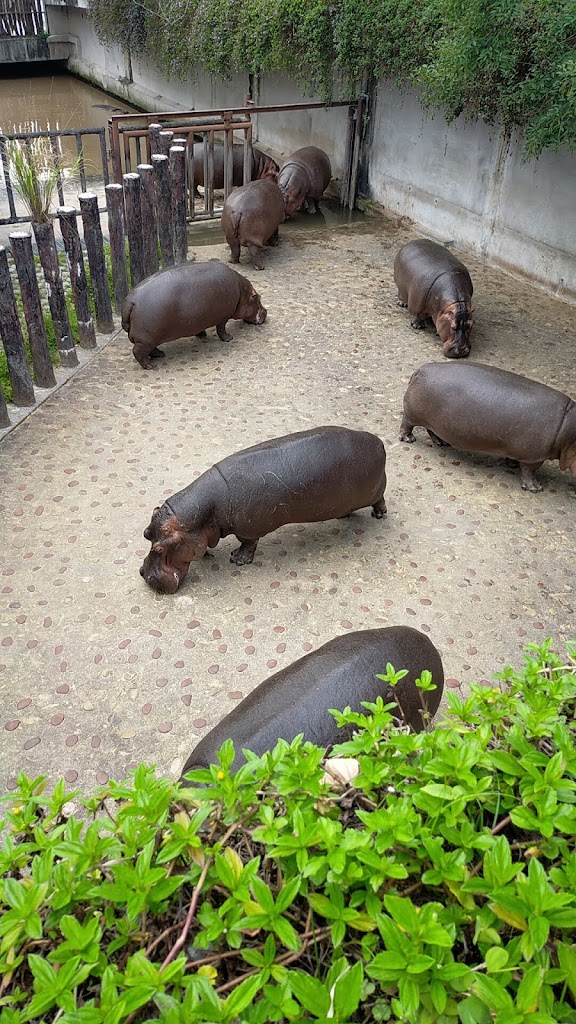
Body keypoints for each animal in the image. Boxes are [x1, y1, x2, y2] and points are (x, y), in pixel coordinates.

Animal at [121, 260, 266, 368]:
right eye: (258, 298)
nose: (266, 311)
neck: (243, 292)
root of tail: (131, 301)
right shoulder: (224, 316)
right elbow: (221, 329)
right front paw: (229, 338)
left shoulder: (197, 319)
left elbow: (199, 329)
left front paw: (202, 335)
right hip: (146, 340)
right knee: (138, 351)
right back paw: (151, 366)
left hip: (151, 338)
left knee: (151, 349)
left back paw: (161, 354)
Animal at [140, 425, 385, 593]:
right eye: (146, 533)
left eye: (161, 549)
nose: (144, 574)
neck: (207, 510)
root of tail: (379, 441)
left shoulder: (249, 528)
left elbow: (248, 543)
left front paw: (237, 559)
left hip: (374, 489)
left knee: (381, 498)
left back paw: (379, 515)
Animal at [397, 360, 573, 491]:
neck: (568, 427)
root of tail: (421, 369)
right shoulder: (534, 456)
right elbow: (530, 471)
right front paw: (536, 488)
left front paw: (512, 464)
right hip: (413, 414)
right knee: (407, 424)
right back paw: (409, 439)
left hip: (435, 421)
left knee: (432, 430)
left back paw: (442, 443)